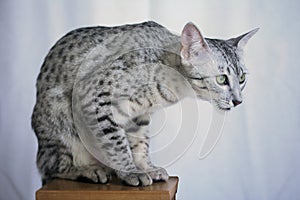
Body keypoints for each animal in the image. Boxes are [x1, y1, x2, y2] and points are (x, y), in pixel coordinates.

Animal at [32, 20, 258, 186]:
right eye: (221, 79)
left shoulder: (138, 116)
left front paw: (146, 167)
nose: (238, 101)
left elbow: (140, 143)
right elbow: (117, 143)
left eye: (241, 79)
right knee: (50, 167)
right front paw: (130, 171)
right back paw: (88, 170)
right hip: (59, 120)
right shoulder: (94, 98)